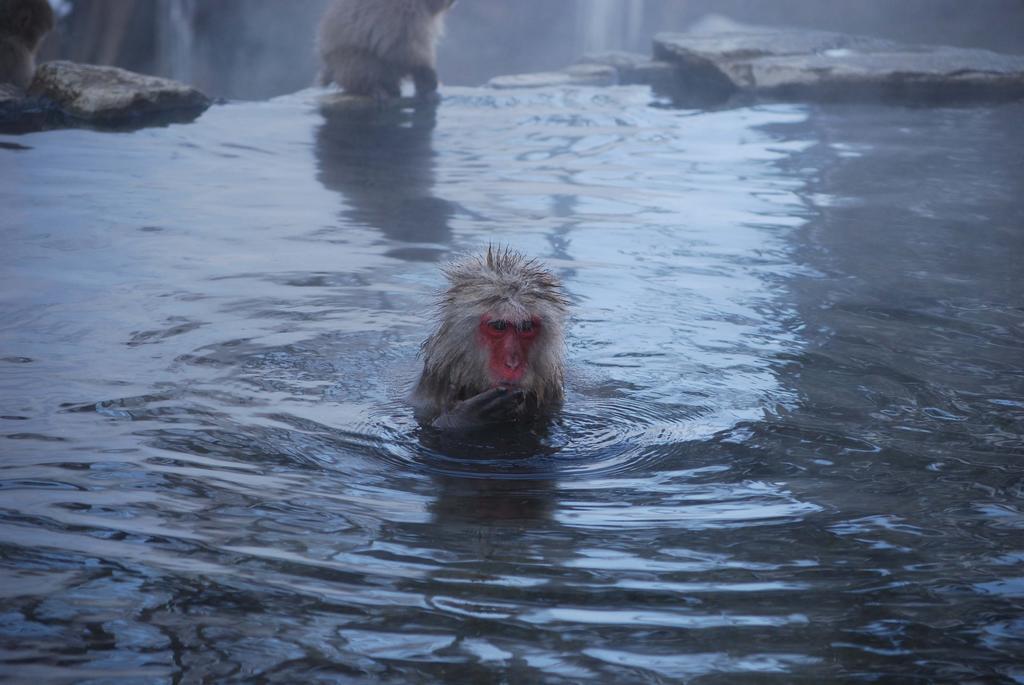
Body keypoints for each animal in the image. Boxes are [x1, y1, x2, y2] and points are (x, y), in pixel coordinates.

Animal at [313, 0, 454, 100]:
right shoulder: (405, 12)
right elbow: (403, 48)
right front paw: (426, 76)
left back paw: (391, 87)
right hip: (344, 62)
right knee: (361, 60)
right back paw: (371, 88)